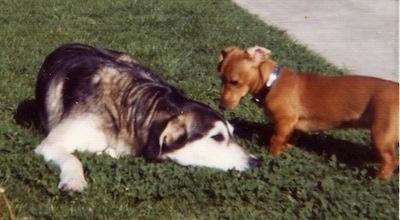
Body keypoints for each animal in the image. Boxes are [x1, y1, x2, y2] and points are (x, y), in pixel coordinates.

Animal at [34, 43, 260, 191]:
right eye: (217, 137)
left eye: (232, 134)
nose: (255, 162)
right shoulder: (51, 144)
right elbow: (73, 159)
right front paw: (74, 181)